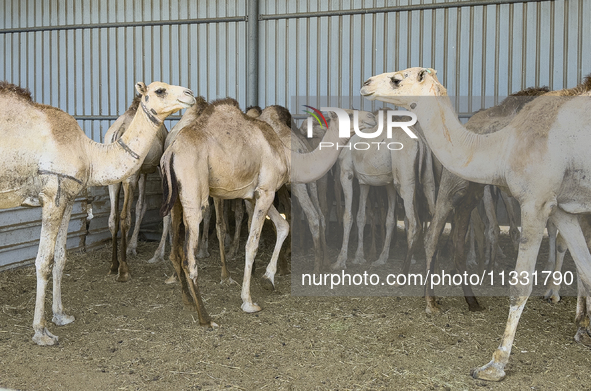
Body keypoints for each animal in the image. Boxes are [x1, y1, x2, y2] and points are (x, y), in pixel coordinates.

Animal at [104, 97, 168, 284]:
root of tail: (118, 133)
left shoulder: (143, 171)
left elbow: (141, 205)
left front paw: (132, 247)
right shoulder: (156, 166)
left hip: (114, 179)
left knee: (113, 217)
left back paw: (113, 266)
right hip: (130, 176)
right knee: (125, 217)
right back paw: (124, 270)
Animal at [158, 98, 352, 324]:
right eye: (353, 116)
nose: (372, 122)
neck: (284, 153)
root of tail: (171, 152)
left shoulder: (255, 194)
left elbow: (282, 225)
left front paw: (268, 279)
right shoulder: (267, 191)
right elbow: (252, 244)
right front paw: (248, 302)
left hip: (176, 200)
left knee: (175, 252)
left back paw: (188, 300)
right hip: (194, 194)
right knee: (189, 257)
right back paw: (205, 317)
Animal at [358, 68, 591, 382]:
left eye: (398, 78)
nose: (366, 84)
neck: (505, 144)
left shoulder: (537, 202)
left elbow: (521, 284)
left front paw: (494, 365)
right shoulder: (562, 209)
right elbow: (586, 269)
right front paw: (583, 328)